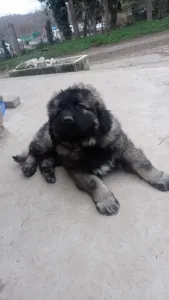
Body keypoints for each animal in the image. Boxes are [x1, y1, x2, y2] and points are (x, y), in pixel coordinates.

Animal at [12, 82, 169, 216]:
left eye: (81, 107)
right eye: (59, 111)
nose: (67, 120)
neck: (88, 143)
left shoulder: (125, 149)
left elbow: (143, 164)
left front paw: (159, 177)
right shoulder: (77, 170)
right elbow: (95, 183)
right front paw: (106, 201)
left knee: (45, 159)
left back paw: (48, 173)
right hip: (47, 142)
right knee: (32, 151)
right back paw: (28, 167)